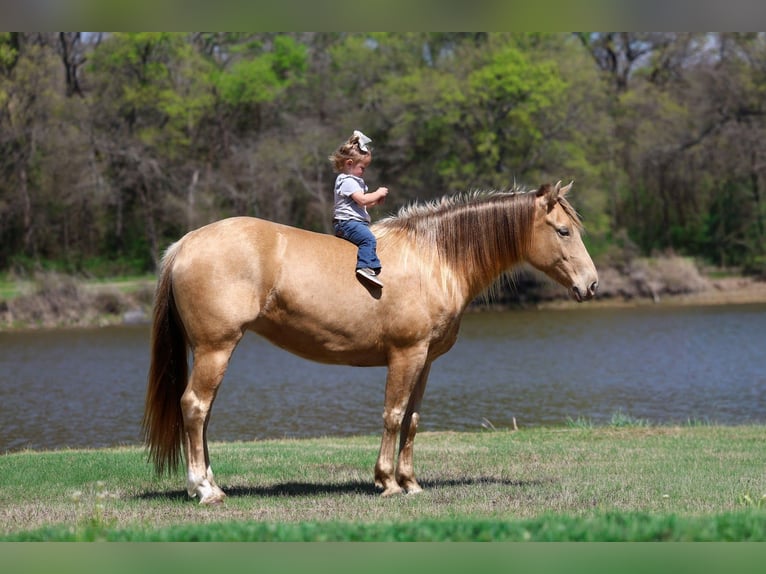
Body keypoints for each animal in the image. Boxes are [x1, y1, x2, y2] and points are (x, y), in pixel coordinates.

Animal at [142, 180, 598, 504]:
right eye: (562, 231)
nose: (591, 284)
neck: (434, 257)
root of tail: (185, 242)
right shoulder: (405, 354)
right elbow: (393, 415)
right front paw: (387, 482)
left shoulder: (425, 361)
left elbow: (412, 420)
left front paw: (410, 482)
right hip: (216, 348)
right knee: (195, 407)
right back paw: (204, 489)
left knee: (203, 413)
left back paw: (211, 483)